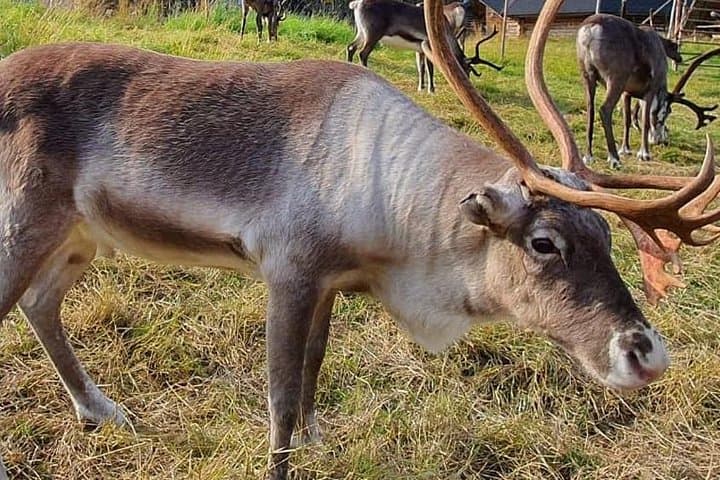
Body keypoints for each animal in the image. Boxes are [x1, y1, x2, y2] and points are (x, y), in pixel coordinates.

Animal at [347, 0, 502, 93]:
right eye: (467, 69)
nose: (468, 85)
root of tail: (356, 4)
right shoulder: (429, 46)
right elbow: (430, 69)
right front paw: (431, 89)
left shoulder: (419, 50)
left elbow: (421, 68)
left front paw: (421, 87)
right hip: (373, 34)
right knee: (362, 53)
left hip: (361, 32)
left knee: (351, 47)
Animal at [577, 14, 718, 168]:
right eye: (668, 112)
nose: (661, 141)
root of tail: (590, 28)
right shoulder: (650, 90)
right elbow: (645, 119)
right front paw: (644, 154)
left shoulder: (626, 92)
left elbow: (627, 119)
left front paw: (625, 149)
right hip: (615, 79)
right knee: (605, 109)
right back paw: (614, 159)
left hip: (587, 75)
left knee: (590, 109)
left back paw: (588, 156)